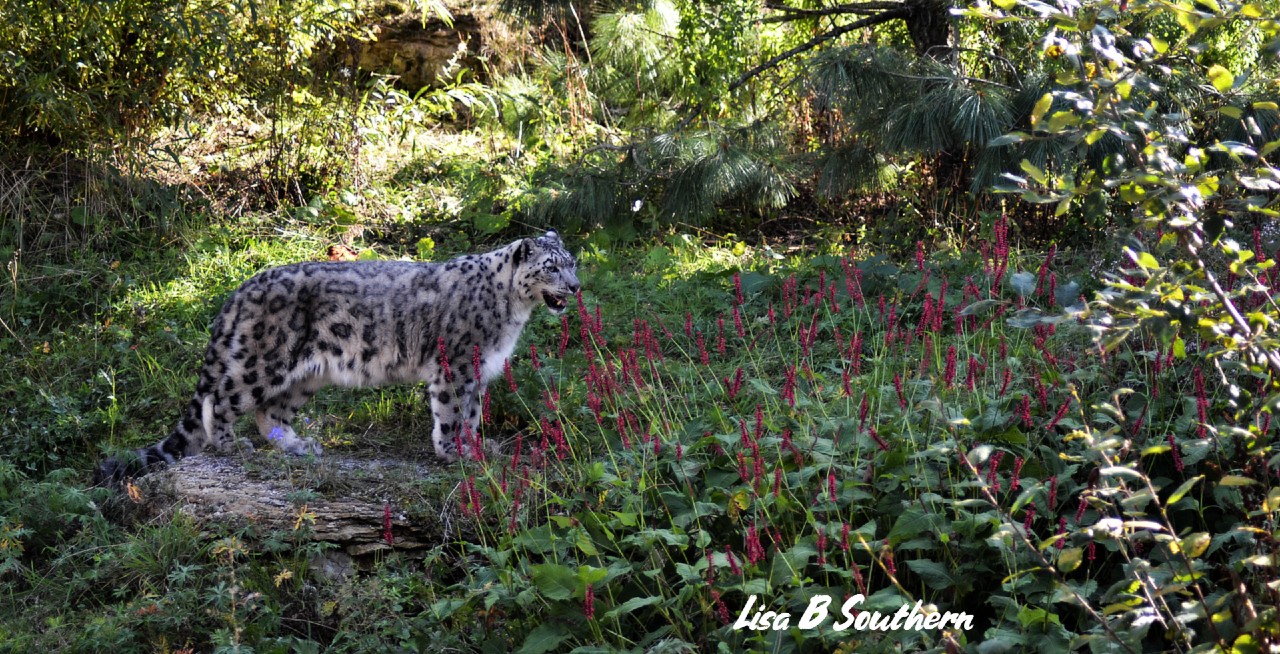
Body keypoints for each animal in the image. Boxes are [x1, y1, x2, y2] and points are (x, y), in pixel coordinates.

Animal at [95, 230, 579, 484]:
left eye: (571, 261)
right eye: (551, 266)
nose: (575, 287)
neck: (513, 313)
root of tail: (241, 289)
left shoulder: (476, 370)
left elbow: (474, 413)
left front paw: (479, 446)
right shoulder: (456, 366)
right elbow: (452, 413)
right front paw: (456, 452)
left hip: (306, 375)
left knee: (270, 413)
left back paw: (298, 446)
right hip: (261, 363)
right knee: (220, 400)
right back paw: (232, 446)